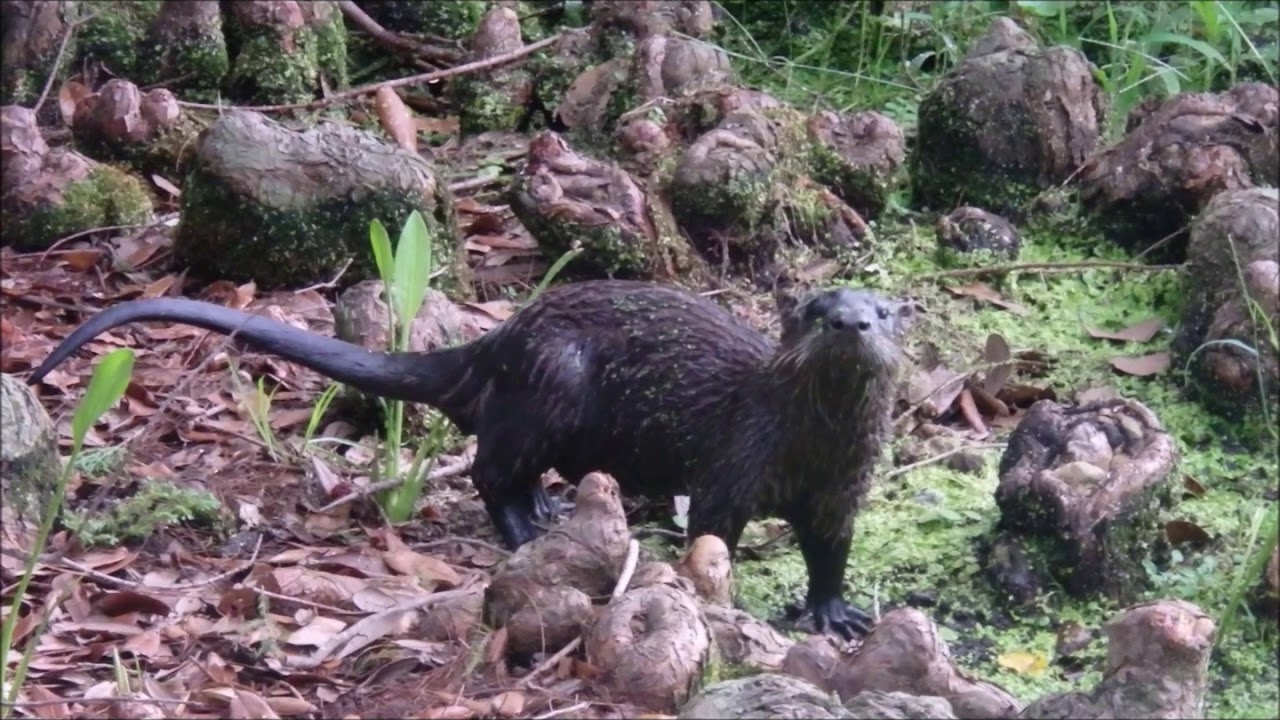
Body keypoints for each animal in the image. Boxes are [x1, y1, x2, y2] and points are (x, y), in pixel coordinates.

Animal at [28, 279, 911, 638]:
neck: (807, 447)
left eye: (882, 310)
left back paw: (551, 510)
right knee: (492, 471)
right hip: (553, 383)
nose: (850, 323)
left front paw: (836, 615)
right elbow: (716, 534)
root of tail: (501, 339)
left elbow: (832, 553)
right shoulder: (735, 465)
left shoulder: (843, 490)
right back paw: (525, 535)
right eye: (814, 309)